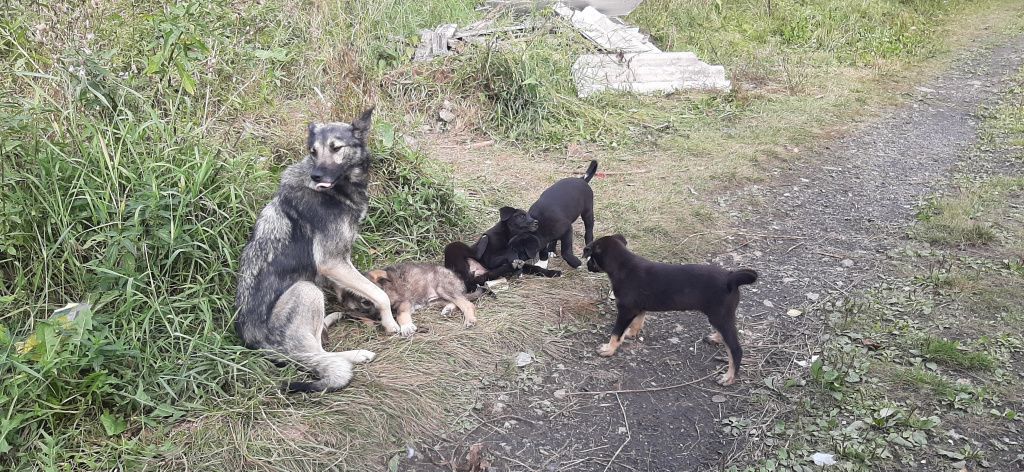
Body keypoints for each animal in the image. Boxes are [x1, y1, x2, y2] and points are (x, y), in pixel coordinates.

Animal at [339, 261, 475, 331]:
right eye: (364, 303)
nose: (377, 319)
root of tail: (458, 278)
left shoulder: (404, 302)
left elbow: (401, 314)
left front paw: (406, 327)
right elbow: (361, 317)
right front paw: (369, 323)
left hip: (443, 288)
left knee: (467, 303)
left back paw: (469, 319)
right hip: (433, 300)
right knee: (459, 301)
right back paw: (448, 309)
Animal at [581, 233, 757, 384]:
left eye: (591, 257)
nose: (588, 266)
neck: (623, 265)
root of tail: (731, 278)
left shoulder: (626, 310)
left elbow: (616, 333)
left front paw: (609, 349)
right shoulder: (638, 308)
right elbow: (638, 322)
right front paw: (631, 333)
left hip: (720, 315)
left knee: (735, 349)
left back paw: (728, 377)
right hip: (720, 316)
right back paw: (716, 338)